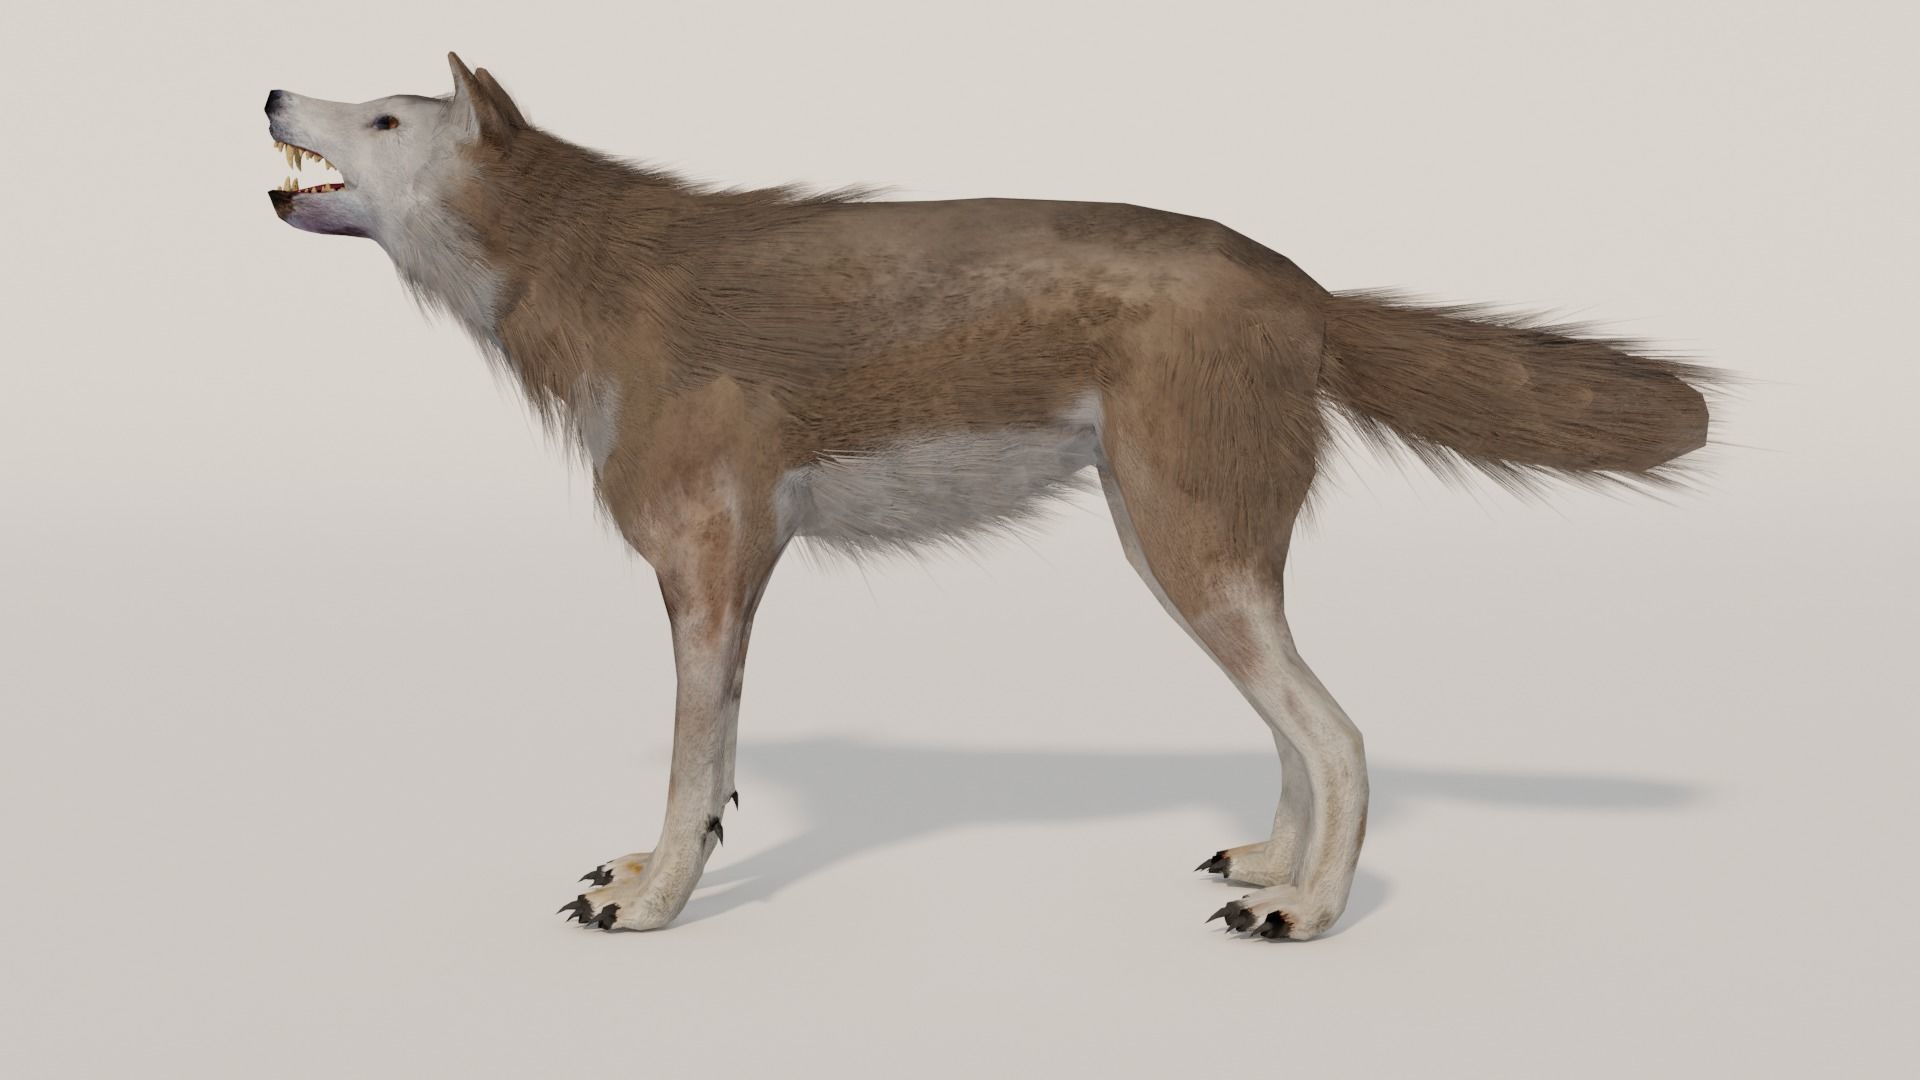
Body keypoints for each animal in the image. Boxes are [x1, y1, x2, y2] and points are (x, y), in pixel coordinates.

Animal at [264, 54, 1716, 940]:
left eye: (386, 118)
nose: (274, 90)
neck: (595, 269)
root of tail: (1302, 285)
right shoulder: (736, 570)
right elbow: (718, 763)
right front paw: (656, 868)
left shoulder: (708, 558)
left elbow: (687, 768)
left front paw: (659, 901)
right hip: (1176, 556)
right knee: (1300, 739)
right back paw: (1270, 867)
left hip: (1191, 561)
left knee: (1343, 736)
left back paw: (1305, 915)